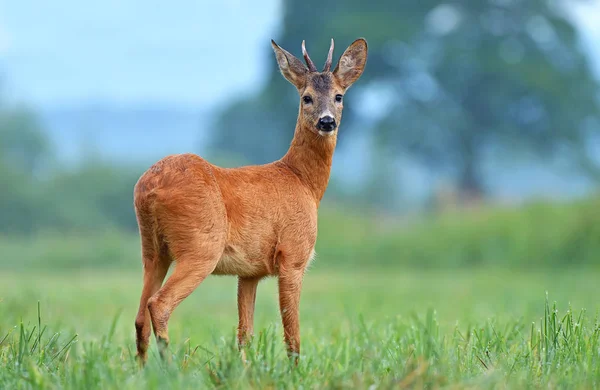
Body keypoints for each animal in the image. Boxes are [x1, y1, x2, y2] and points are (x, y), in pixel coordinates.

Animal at [132, 37, 366, 366]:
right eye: (306, 97)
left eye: (339, 96)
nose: (327, 121)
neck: (302, 181)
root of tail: (149, 188)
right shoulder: (293, 255)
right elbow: (292, 332)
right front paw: (295, 371)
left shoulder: (249, 272)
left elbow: (245, 333)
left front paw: (244, 370)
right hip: (200, 246)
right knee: (159, 304)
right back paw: (171, 367)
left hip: (153, 250)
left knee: (140, 315)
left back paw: (142, 371)